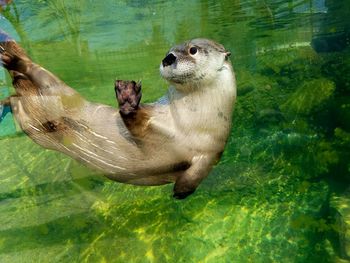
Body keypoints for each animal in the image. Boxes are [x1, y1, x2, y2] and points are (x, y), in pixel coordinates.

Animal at [0, 32, 237, 199]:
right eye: (170, 50)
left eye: (193, 49)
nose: (168, 58)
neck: (188, 122)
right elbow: (138, 123)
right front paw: (127, 99)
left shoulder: (212, 150)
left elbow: (197, 173)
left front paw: (180, 190)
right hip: (59, 91)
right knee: (29, 73)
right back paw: (12, 59)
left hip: (35, 122)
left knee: (16, 96)